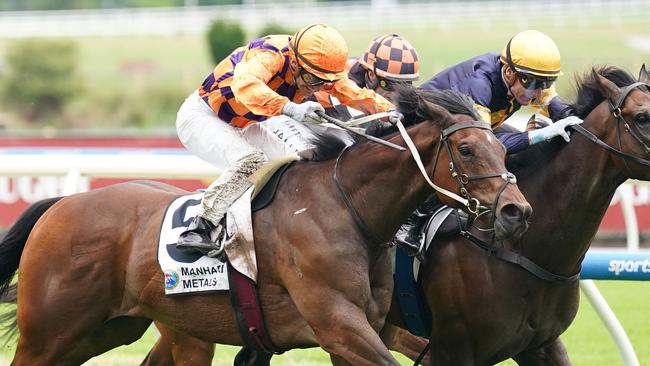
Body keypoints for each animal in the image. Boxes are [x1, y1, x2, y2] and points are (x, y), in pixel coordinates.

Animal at [0, 86, 532, 366]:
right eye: (467, 150)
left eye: (503, 147)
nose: (516, 211)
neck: (348, 208)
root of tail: (63, 204)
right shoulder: (338, 323)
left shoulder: (365, 327)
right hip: (49, 333)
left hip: (111, 329)